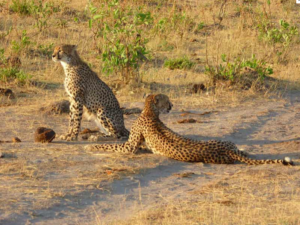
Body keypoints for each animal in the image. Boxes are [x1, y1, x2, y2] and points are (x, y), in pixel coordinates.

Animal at [85, 94, 294, 166]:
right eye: (167, 100)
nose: (172, 105)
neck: (150, 111)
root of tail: (227, 150)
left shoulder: (129, 147)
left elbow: (110, 146)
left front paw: (90, 147)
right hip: (228, 143)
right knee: (242, 149)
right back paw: (244, 148)